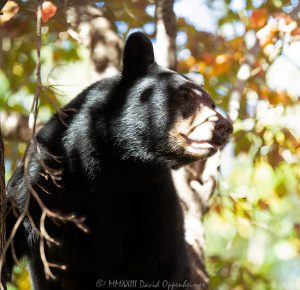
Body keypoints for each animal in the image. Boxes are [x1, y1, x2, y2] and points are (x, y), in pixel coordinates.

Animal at [4, 32, 233, 290]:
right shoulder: (43, 177)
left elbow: (159, 262)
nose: (224, 126)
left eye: (212, 104)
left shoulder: (155, 201)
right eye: (185, 96)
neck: (120, 165)